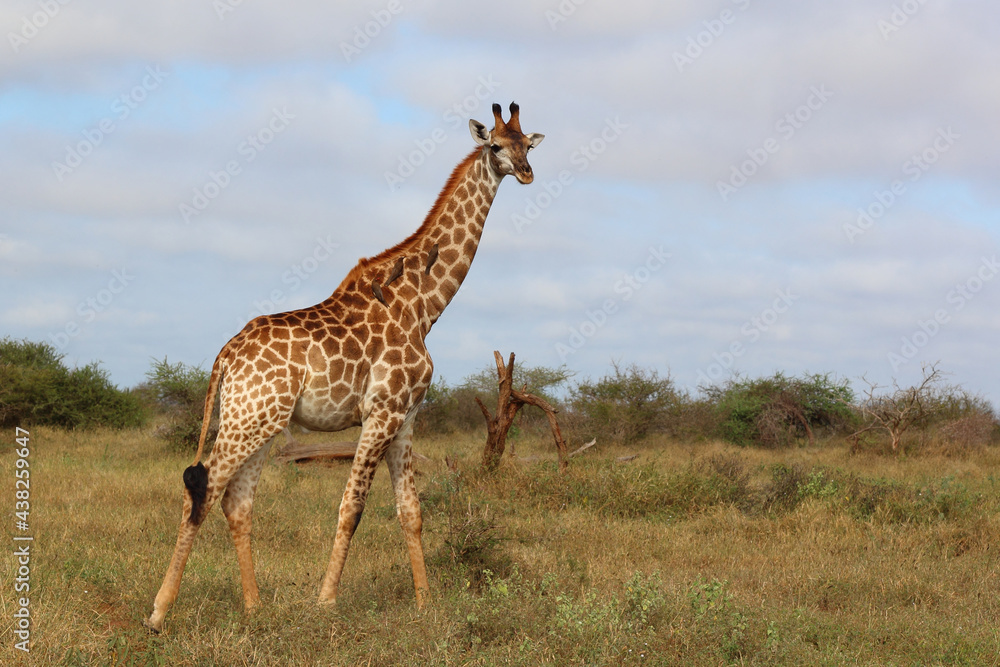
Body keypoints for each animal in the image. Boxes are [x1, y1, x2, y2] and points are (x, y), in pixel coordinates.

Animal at [145, 102, 544, 636]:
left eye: (527, 145)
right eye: (496, 146)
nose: (526, 173)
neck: (424, 304)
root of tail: (225, 356)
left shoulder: (406, 416)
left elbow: (410, 511)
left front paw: (424, 604)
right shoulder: (380, 412)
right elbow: (352, 507)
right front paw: (326, 601)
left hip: (256, 420)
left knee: (237, 501)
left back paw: (254, 607)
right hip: (249, 420)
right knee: (202, 489)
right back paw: (159, 611)